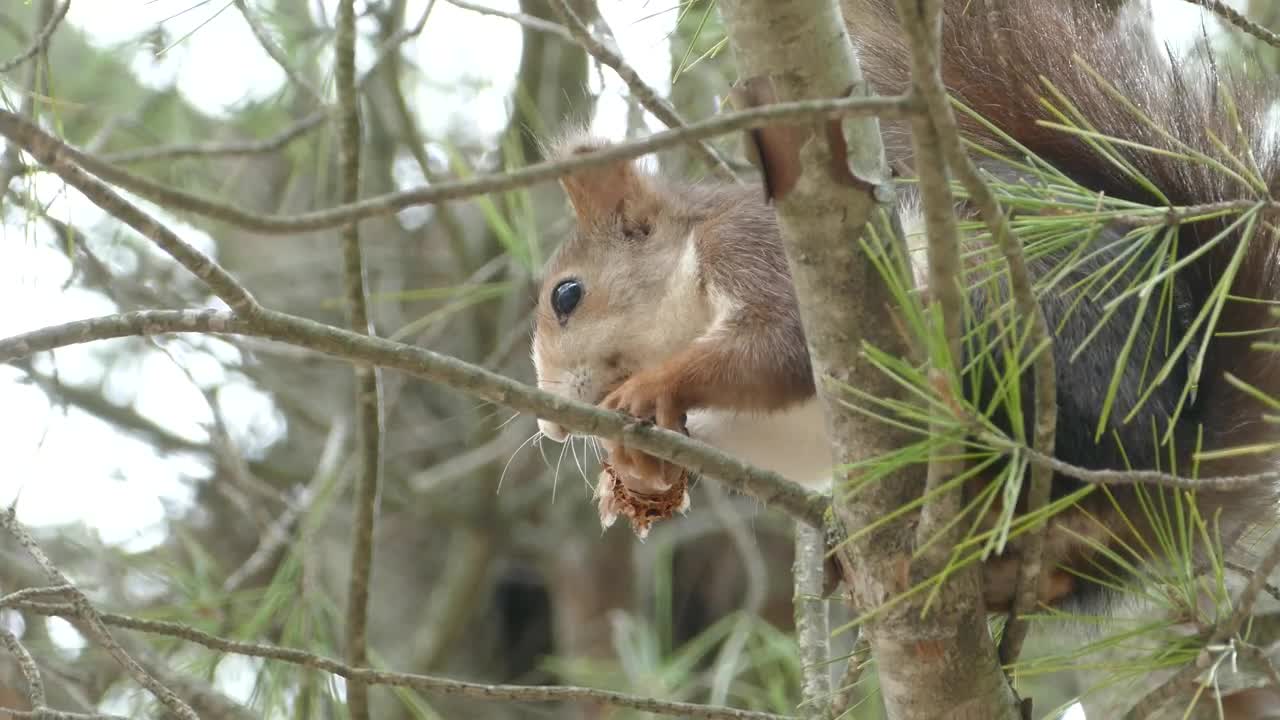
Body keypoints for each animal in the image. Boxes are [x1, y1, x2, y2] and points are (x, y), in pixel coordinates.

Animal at [531, 0, 1280, 613]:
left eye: (567, 295)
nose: (552, 429)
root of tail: (1171, 457)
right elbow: (759, 431)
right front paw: (642, 465)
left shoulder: (755, 249)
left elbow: (779, 350)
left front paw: (650, 387)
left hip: (1010, 332)